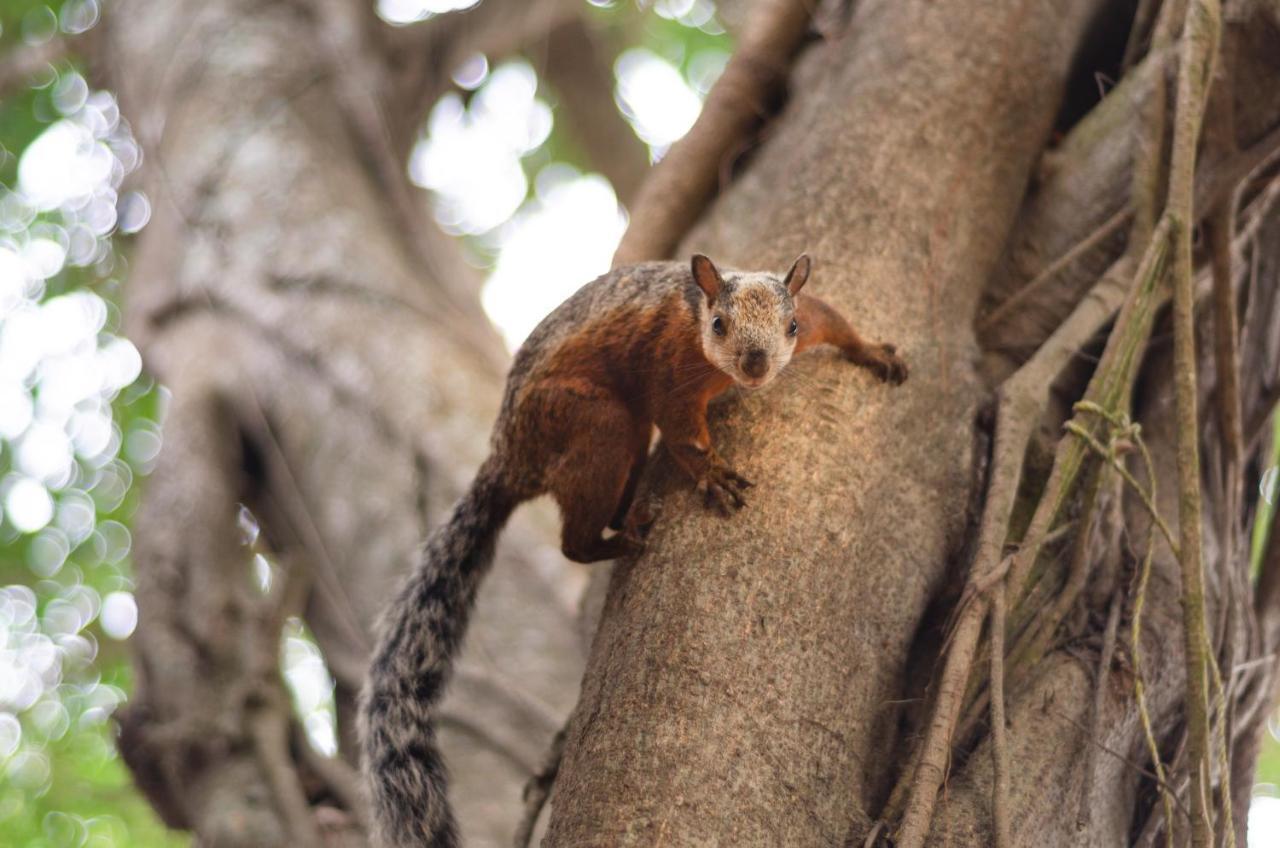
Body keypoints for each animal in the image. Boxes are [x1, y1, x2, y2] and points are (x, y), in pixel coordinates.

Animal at [355, 256, 906, 845]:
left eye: (792, 326)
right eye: (718, 326)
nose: (757, 366)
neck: (697, 323)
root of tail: (509, 458)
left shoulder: (809, 317)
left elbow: (834, 320)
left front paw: (873, 350)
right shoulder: (669, 370)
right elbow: (685, 436)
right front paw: (713, 475)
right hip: (595, 424)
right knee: (574, 540)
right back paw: (623, 537)